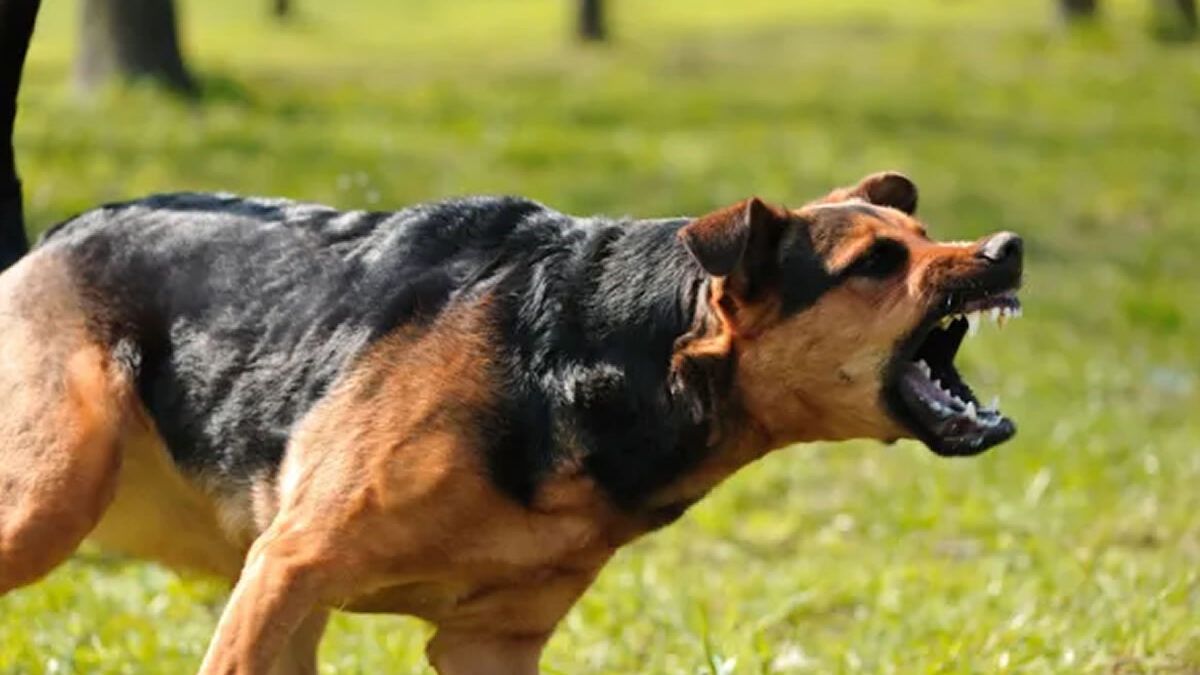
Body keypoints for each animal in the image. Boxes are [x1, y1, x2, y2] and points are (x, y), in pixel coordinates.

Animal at [0, 169, 1022, 672]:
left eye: (923, 236)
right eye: (877, 263)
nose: (1007, 248)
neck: (598, 354)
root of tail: (51, 238)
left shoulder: (488, 643)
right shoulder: (291, 565)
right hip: (54, 502)